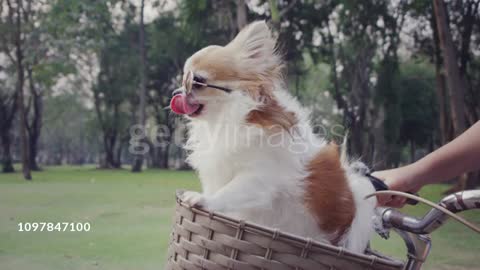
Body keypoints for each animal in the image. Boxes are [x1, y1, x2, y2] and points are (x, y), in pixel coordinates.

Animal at [171, 21, 376, 253]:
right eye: (184, 79)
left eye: (197, 81)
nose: (176, 93)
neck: (226, 118)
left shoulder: (259, 178)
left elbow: (228, 192)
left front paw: (204, 199)